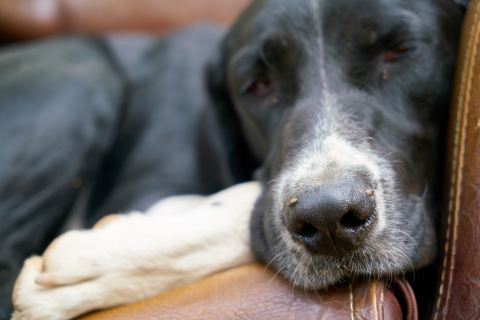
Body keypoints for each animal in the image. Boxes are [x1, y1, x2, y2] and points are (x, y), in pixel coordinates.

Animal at [0, 0, 466, 318]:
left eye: (400, 50)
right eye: (258, 85)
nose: (328, 218)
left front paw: (100, 256)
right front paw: (99, 260)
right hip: (84, 72)